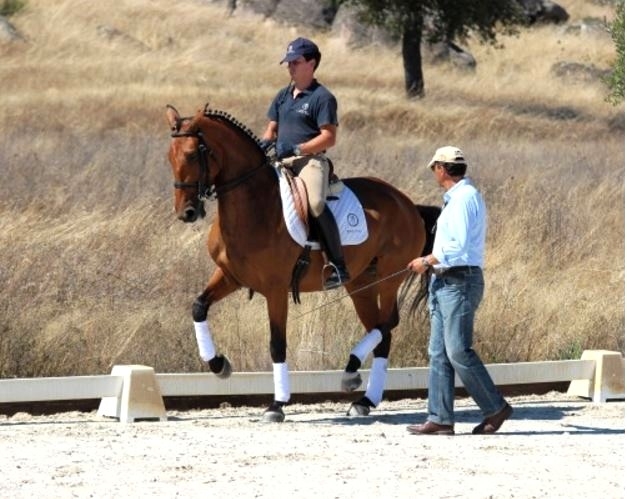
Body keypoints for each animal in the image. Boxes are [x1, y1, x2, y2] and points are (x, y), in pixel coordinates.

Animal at [167, 104, 440, 422]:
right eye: (169, 155)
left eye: (190, 154)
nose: (186, 212)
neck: (255, 206)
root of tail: (407, 204)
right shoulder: (230, 276)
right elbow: (199, 307)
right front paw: (219, 364)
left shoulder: (275, 289)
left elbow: (277, 344)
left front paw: (277, 404)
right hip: (361, 284)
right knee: (382, 332)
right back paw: (363, 398)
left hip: (388, 277)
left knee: (389, 322)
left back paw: (353, 373)